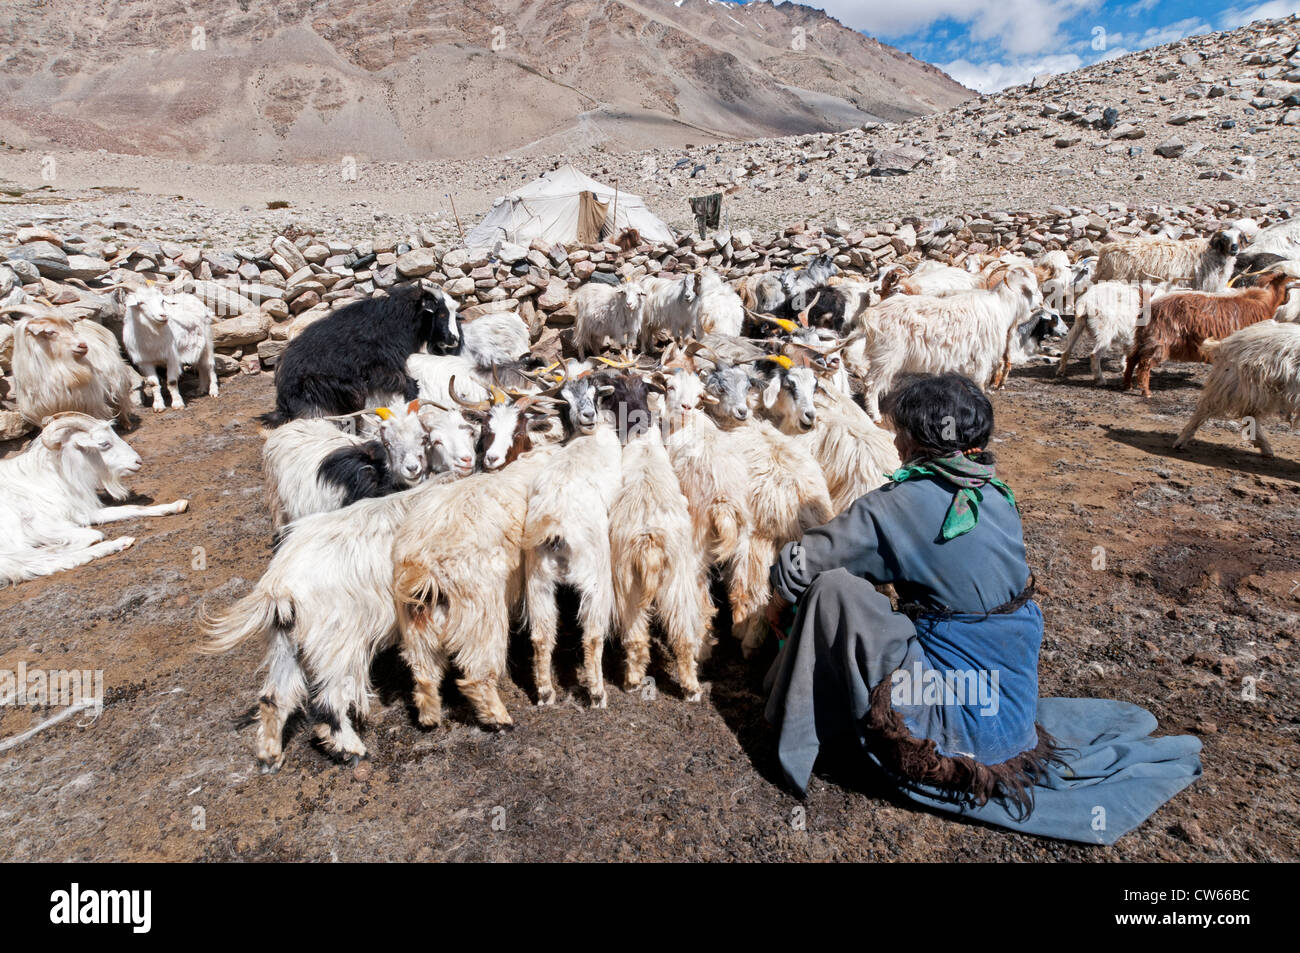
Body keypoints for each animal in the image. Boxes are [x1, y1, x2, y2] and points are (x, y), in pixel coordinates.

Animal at [0, 413, 188, 587]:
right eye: (104, 444)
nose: (138, 461)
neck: (49, 476)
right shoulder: (45, 525)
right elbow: (93, 534)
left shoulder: (82, 512)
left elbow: (128, 509)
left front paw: (176, 505)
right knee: (30, 563)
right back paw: (119, 542)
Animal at [1123, 273, 1294, 395]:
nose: (1288, 298)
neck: (1264, 303)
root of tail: (1149, 306)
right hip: (1159, 341)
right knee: (1144, 364)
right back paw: (1146, 392)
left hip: (1143, 337)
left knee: (1132, 359)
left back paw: (1128, 386)